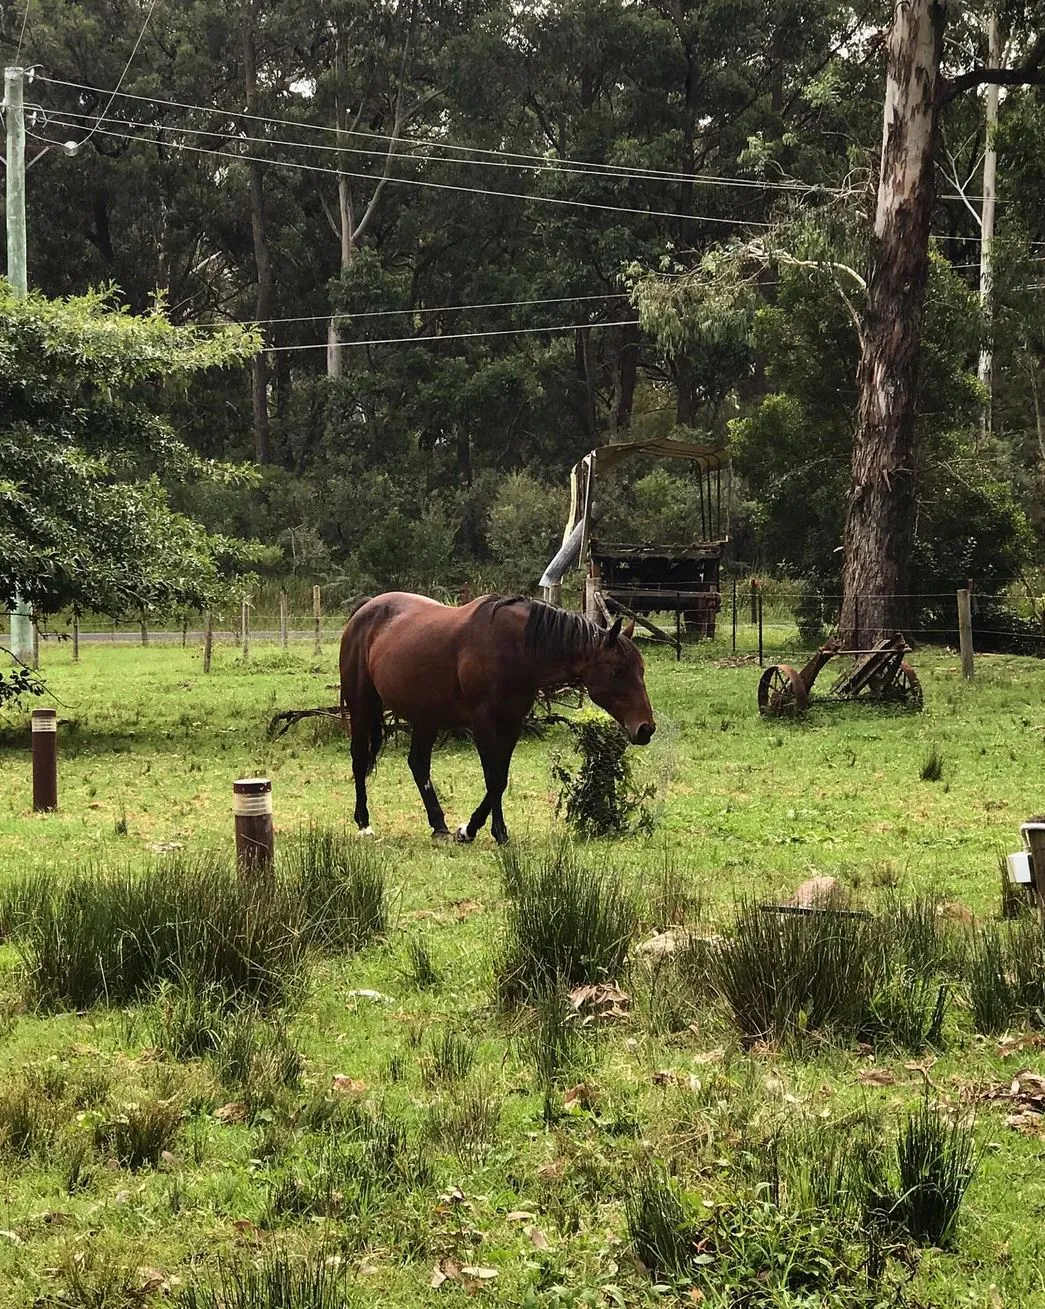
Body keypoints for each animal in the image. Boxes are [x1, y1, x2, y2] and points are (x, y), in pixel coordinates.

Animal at [338, 592, 656, 845]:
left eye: (641, 669)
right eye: (618, 669)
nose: (645, 729)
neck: (516, 648)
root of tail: (365, 610)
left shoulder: (511, 724)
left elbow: (500, 779)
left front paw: (475, 830)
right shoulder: (483, 724)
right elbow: (493, 778)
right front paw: (487, 832)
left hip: (426, 717)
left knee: (418, 764)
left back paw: (439, 825)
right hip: (363, 706)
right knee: (360, 759)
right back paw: (364, 823)